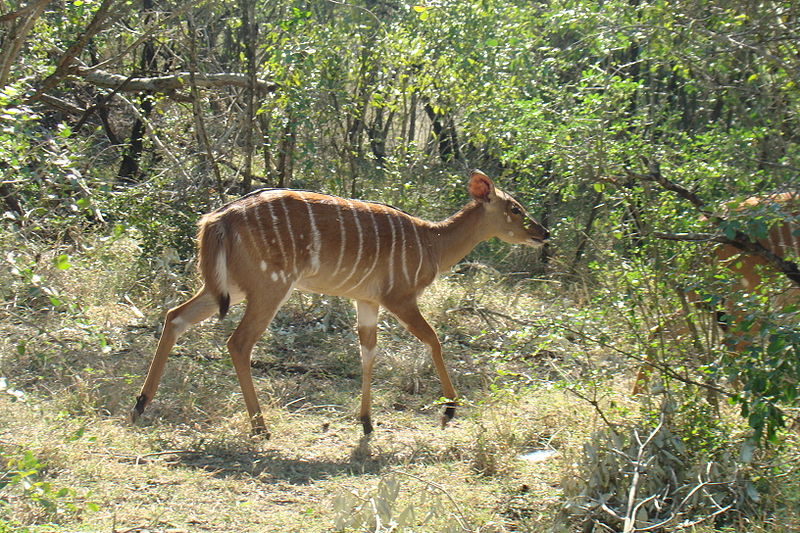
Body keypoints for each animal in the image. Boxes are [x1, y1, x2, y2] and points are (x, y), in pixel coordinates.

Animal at [131, 171, 548, 436]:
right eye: (515, 208)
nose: (543, 233)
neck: (432, 242)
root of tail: (217, 218)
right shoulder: (400, 297)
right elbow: (433, 339)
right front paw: (449, 409)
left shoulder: (367, 301)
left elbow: (367, 351)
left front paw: (366, 421)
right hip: (269, 287)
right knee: (238, 343)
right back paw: (261, 427)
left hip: (228, 286)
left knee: (175, 316)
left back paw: (141, 403)